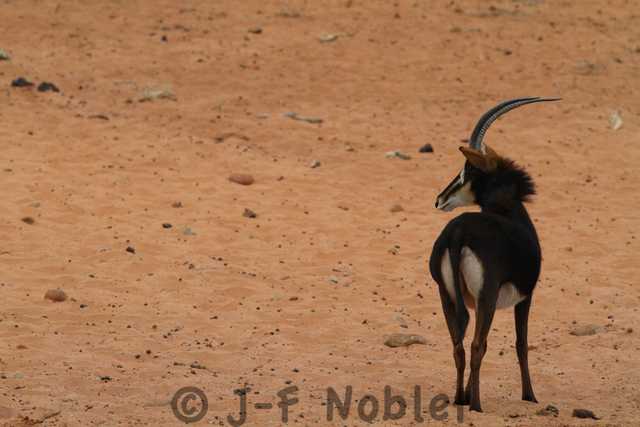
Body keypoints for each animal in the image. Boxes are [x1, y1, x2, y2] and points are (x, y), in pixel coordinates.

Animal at [429, 97, 559, 412]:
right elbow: (521, 344)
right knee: (477, 346)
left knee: (459, 345)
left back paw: (459, 399)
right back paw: (476, 404)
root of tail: (457, 233)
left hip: (447, 295)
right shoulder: (526, 297)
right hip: (487, 296)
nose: (440, 199)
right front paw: (530, 395)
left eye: (467, 171)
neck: (506, 209)